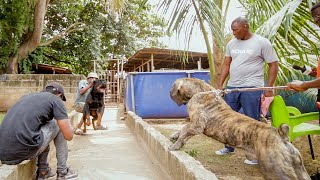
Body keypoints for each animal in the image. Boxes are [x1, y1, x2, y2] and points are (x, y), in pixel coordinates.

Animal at [169, 77, 312, 180]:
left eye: (172, 87)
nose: (169, 93)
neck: (201, 90)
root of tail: (281, 135)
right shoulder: (193, 124)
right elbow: (183, 130)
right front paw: (175, 138)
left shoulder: (197, 125)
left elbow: (184, 132)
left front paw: (175, 145)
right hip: (299, 168)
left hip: (275, 169)